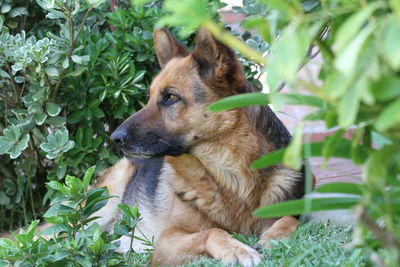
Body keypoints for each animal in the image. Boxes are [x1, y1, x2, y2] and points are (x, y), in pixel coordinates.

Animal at [92, 28, 304, 266]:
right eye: (149, 98)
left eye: (171, 97)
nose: (115, 138)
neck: (231, 176)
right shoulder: (166, 242)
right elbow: (212, 232)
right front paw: (239, 249)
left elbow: (291, 219)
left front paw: (272, 238)